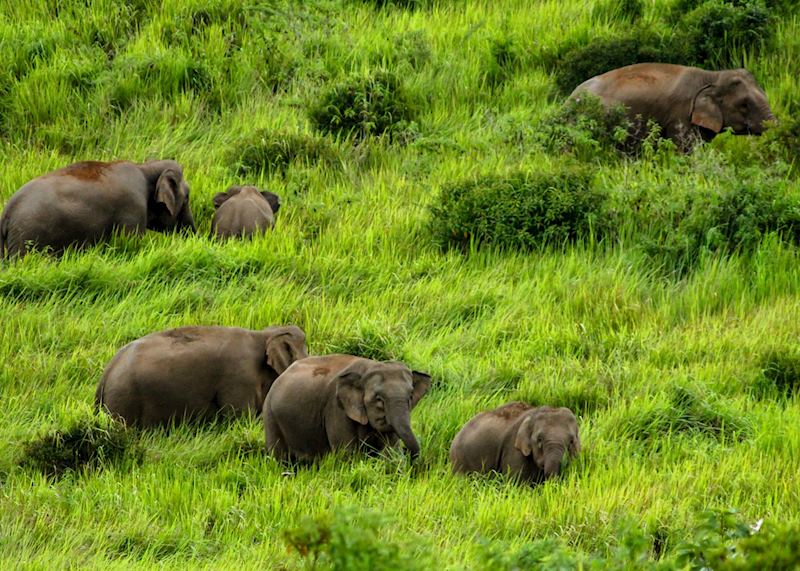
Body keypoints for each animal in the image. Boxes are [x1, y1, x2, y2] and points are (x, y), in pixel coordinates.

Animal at [0, 159, 196, 259]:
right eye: (187, 196)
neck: (145, 167)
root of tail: (7, 212)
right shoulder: (132, 209)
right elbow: (131, 245)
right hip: (26, 237)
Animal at [263, 354, 431, 461]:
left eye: (410, 396)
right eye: (378, 399)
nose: (406, 452)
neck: (369, 366)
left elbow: (390, 452)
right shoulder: (336, 409)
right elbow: (347, 454)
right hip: (270, 415)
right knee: (279, 458)